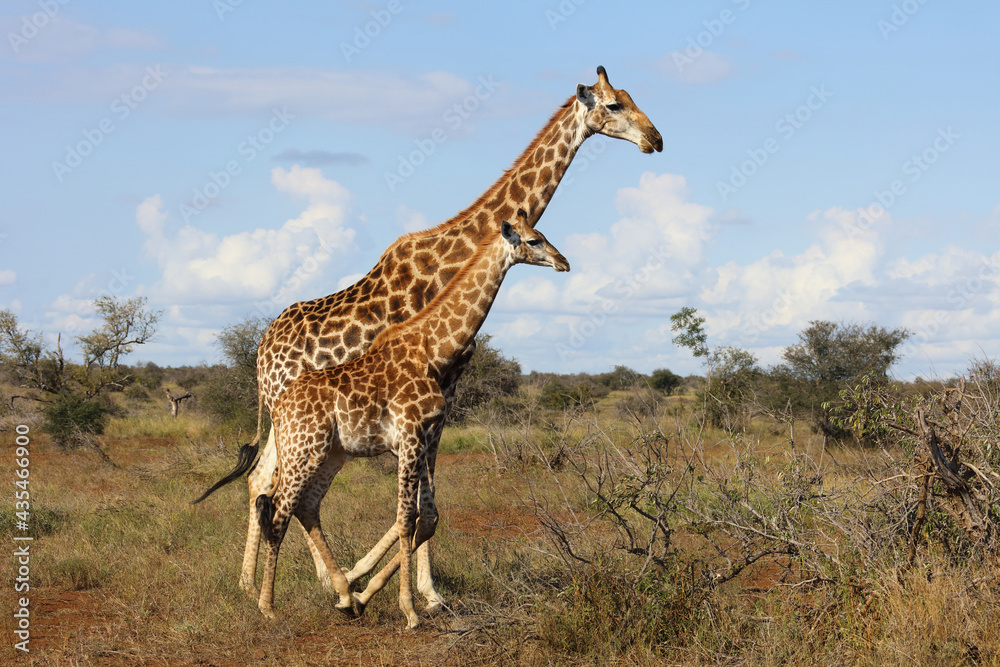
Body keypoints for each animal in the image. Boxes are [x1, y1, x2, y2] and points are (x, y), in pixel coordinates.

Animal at [255, 212, 569, 628]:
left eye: (543, 235)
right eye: (534, 240)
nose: (564, 262)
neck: (433, 350)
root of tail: (279, 405)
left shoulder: (427, 433)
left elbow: (427, 517)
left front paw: (371, 594)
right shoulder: (408, 432)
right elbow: (406, 517)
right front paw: (409, 610)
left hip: (332, 453)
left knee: (305, 506)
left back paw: (345, 597)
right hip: (302, 447)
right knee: (277, 511)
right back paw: (268, 608)